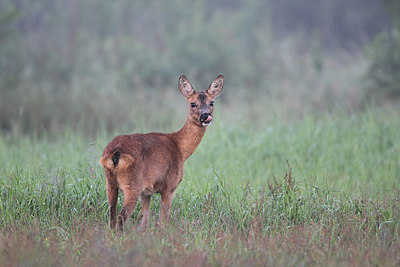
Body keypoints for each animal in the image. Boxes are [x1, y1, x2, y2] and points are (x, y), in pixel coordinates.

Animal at [99, 74, 223, 232]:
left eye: (212, 102)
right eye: (193, 104)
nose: (205, 116)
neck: (180, 149)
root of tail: (115, 153)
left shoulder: (147, 191)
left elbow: (145, 220)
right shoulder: (169, 186)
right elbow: (164, 220)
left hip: (110, 183)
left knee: (112, 217)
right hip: (132, 184)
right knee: (121, 218)